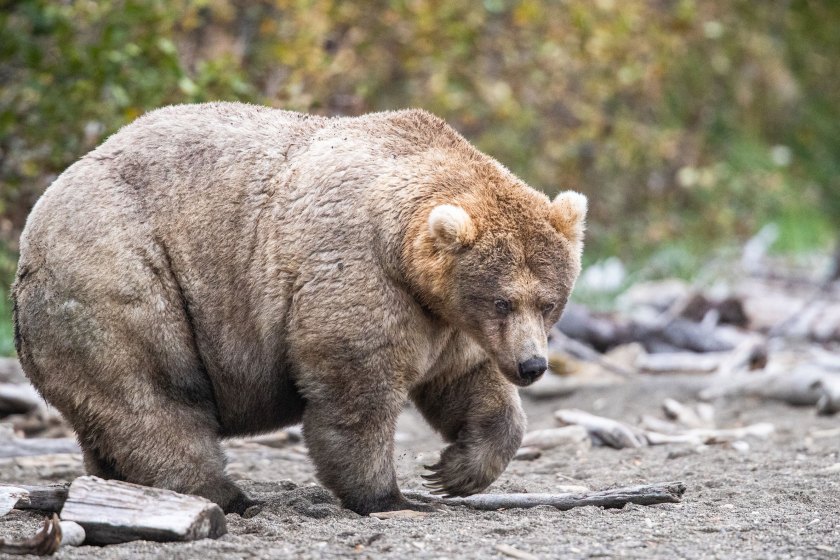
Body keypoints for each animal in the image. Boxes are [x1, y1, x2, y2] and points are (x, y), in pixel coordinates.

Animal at [11, 103, 587, 515]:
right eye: (502, 299)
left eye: (549, 302)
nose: (532, 366)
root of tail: (35, 224)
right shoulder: (359, 274)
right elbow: (356, 391)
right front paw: (390, 497)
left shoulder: (447, 320)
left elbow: (467, 383)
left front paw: (454, 471)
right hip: (122, 277)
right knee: (153, 395)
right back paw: (226, 495)